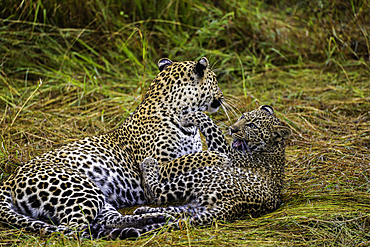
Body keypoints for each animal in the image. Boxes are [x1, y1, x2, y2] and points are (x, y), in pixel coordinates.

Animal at [0, 57, 223, 238]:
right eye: (215, 80)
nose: (221, 96)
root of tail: (9, 180)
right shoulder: (159, 165)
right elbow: (193, 158)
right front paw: (219, 158)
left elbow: (195, 155)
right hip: (81, 189)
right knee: (71, 229)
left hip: (95, 197)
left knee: (104, 220)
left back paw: (145, 223)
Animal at [134, 105, 290, 233]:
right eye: (242, 117)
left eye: (252, 125)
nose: (232, 129)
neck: (273, 148)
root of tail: (234, 206)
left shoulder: (225, 152)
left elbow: (209, 123)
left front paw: (187, 118)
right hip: (198, 204)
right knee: (176, 213)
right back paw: (145, 215)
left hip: (198, 175)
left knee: (155, 193)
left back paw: (149, 164)